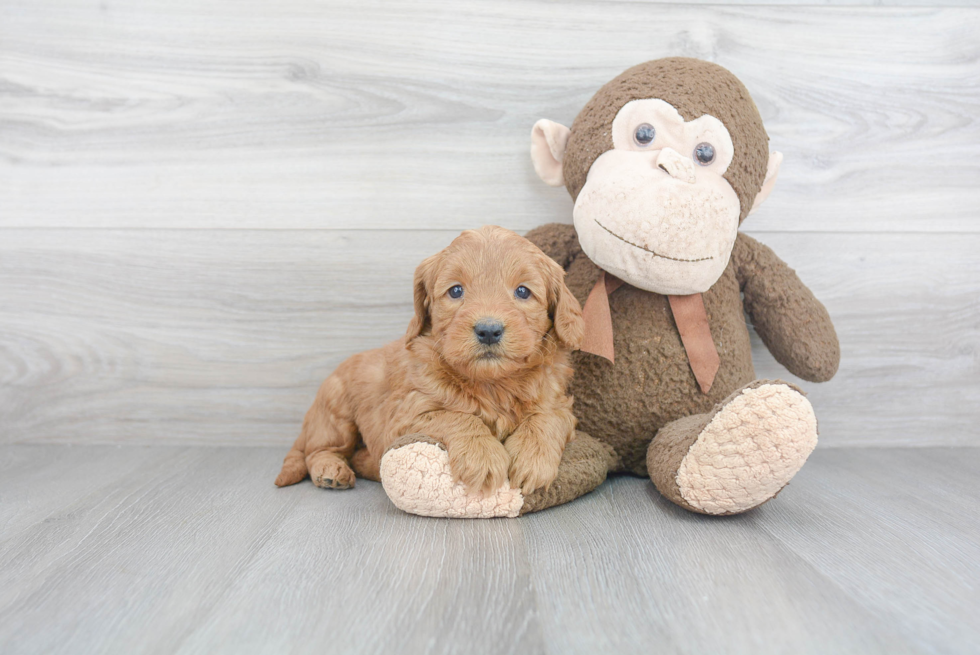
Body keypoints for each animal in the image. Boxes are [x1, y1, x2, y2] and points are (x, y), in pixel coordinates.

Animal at [276, 224, 580, 492]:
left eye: (523, 291)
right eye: (456, 290)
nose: (488, 330)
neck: (493, 384)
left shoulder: (558, 402)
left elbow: (547, 418)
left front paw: (532, 459)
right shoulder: (406, 415)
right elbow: (457, 417)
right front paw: (482, 457)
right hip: (336, 413)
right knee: (319, 450)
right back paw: (331, 470)